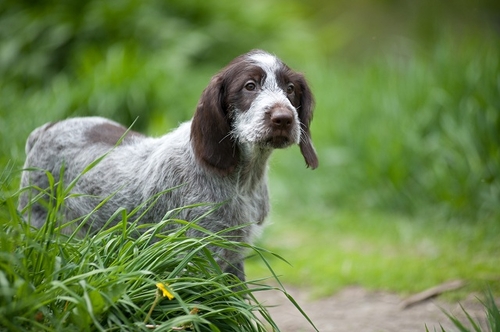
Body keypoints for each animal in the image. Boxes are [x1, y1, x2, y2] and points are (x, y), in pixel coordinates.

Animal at [18, 49, 320, 282]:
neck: (243, 177)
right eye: (250, 86)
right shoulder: (198, 253)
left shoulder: (232, 255)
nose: (283, 118)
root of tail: (45, 129)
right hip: (37, 220)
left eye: (290, 89)